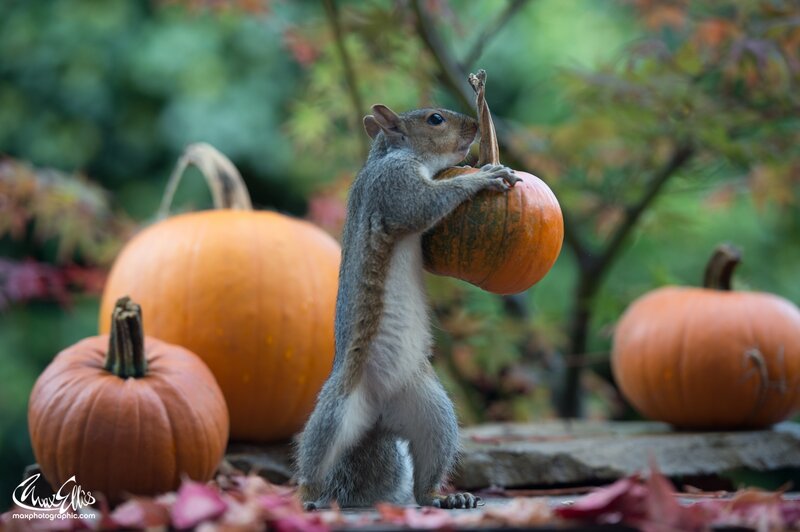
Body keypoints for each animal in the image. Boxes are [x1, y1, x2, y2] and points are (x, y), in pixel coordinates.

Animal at [296, 104, 519, 510]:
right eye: (435, 119)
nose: (475, 126)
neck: (392, 154)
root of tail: (378, 420)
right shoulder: (394, 186)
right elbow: (423, 205)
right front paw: (485, 176)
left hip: (433, 412)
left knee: (425, 480)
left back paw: (446, 498)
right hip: (337, 410)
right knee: (315, 458)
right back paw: (308, 497)